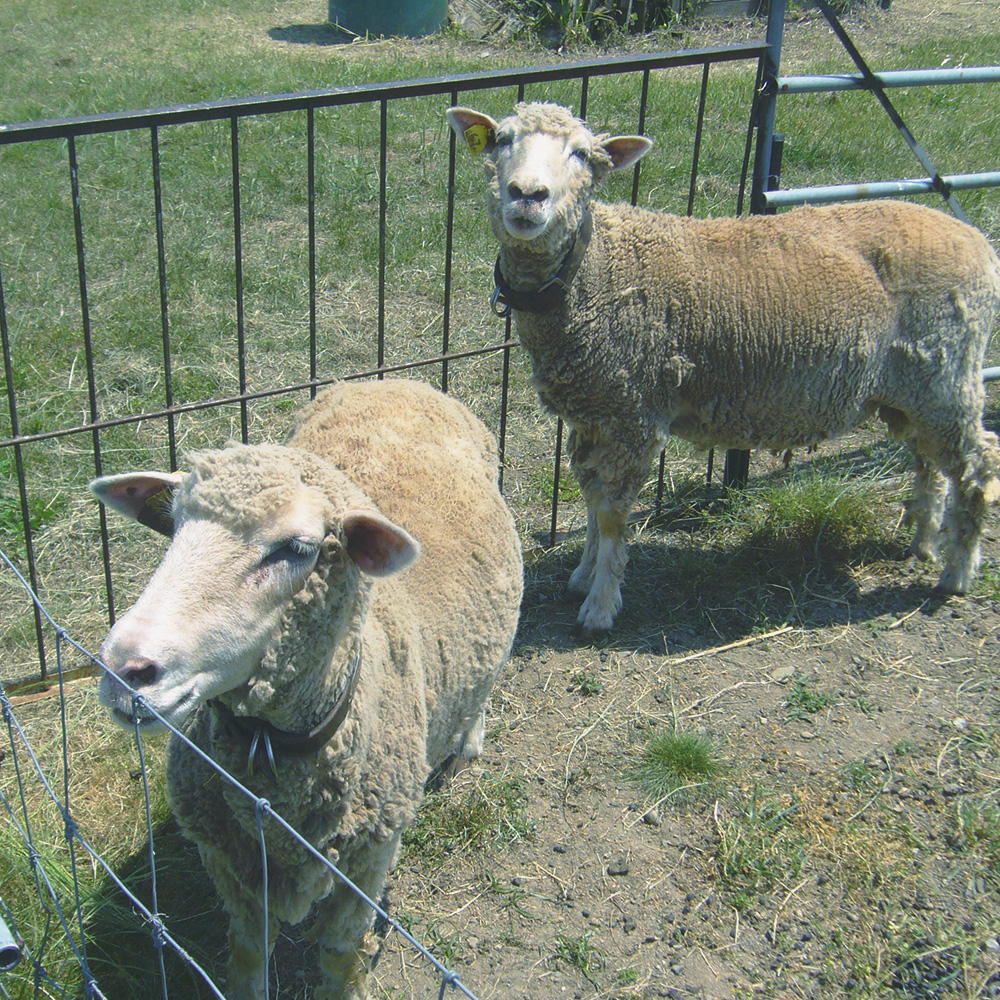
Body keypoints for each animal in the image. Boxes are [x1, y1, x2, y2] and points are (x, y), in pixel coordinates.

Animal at [89, 376, 524, 1000]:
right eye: (172, 525)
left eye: (295, 549)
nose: (124, 668)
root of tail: (399, 380)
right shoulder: (236, 868)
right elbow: (248, 959)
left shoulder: (367, 861)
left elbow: (341, 958)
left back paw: (467, 741)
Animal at [450, 101, 1000, 632]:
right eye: (501, 139)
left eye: (582, 154)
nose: (527, 195)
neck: (594, 271)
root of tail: (975, 240)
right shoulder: (595, 412)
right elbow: (589, 495)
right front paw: (583, 575)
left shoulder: (633, 413)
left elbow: (611, 514)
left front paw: (601, 606)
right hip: (909, 392)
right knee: (929, 463)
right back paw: (924, 541)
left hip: (946, 378)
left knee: (977, 463)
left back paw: (957, 572)